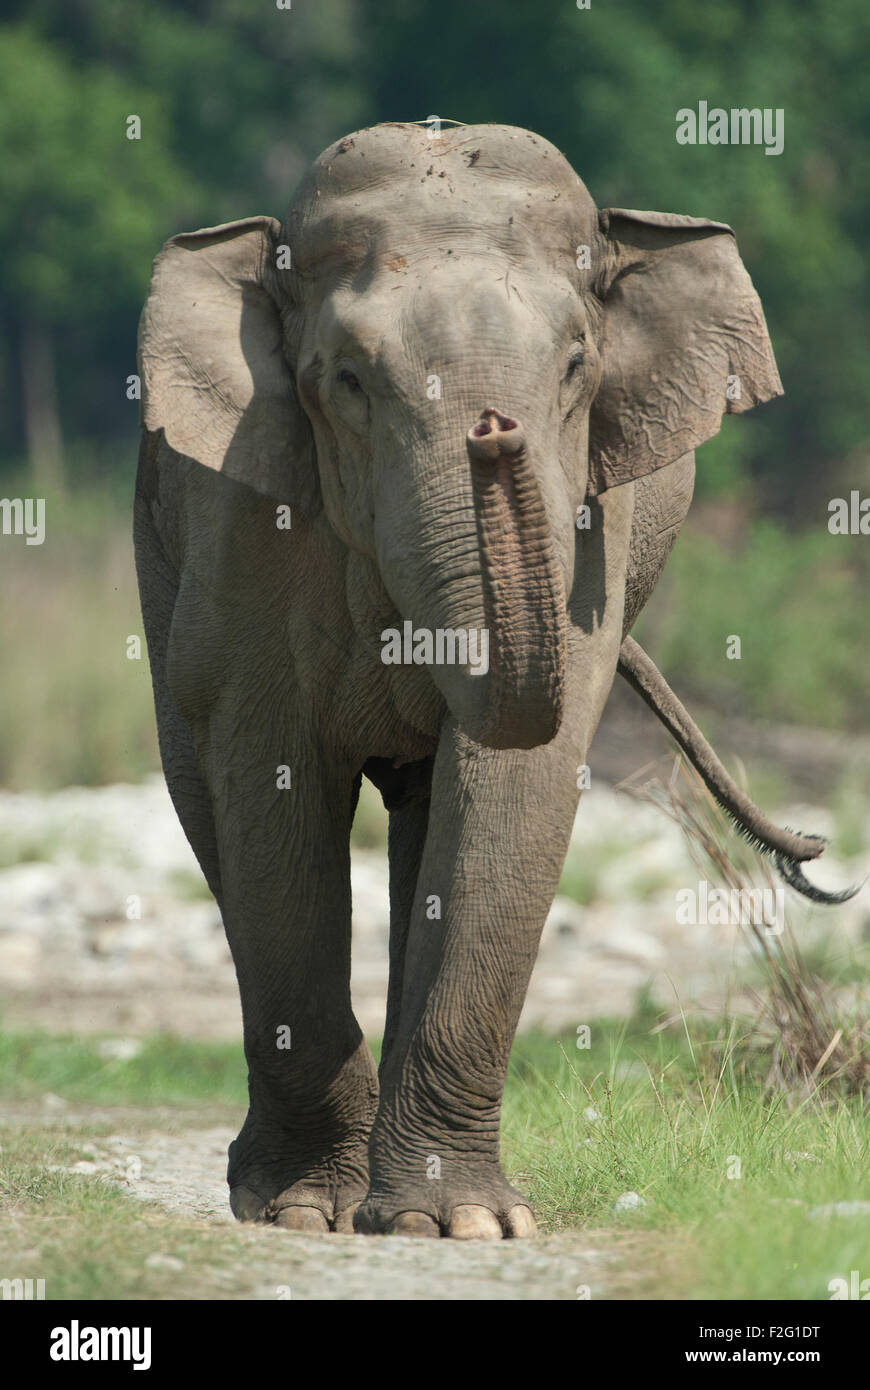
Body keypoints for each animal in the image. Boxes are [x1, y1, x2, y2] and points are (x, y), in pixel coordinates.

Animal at [134, 121, 852, 1240]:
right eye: (346, 379)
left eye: (575, 365)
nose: (492, 429)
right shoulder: (241, 516)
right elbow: (265, 773)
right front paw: (304, 1212)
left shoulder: (592, 548)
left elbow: (515, 785)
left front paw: (457, 1224)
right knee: (203, 795)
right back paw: (282, 1186)